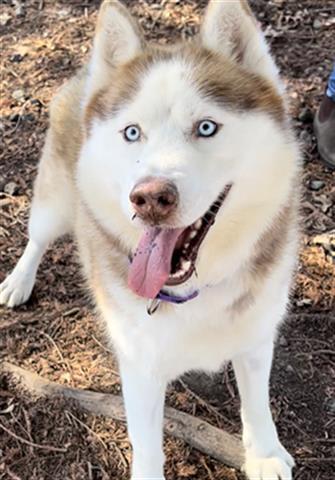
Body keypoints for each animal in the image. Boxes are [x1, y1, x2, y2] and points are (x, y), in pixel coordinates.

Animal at [0, 0, 300, 478]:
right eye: (132, 132)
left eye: (206, 128)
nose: (149, 198)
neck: (195, 290)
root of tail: (88, 72)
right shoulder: (140, 365)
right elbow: (147, 445)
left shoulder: (255, 336)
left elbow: (257, 404)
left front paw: (265, 455)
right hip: (55, 204)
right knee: (38, 238)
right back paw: (19, 280)